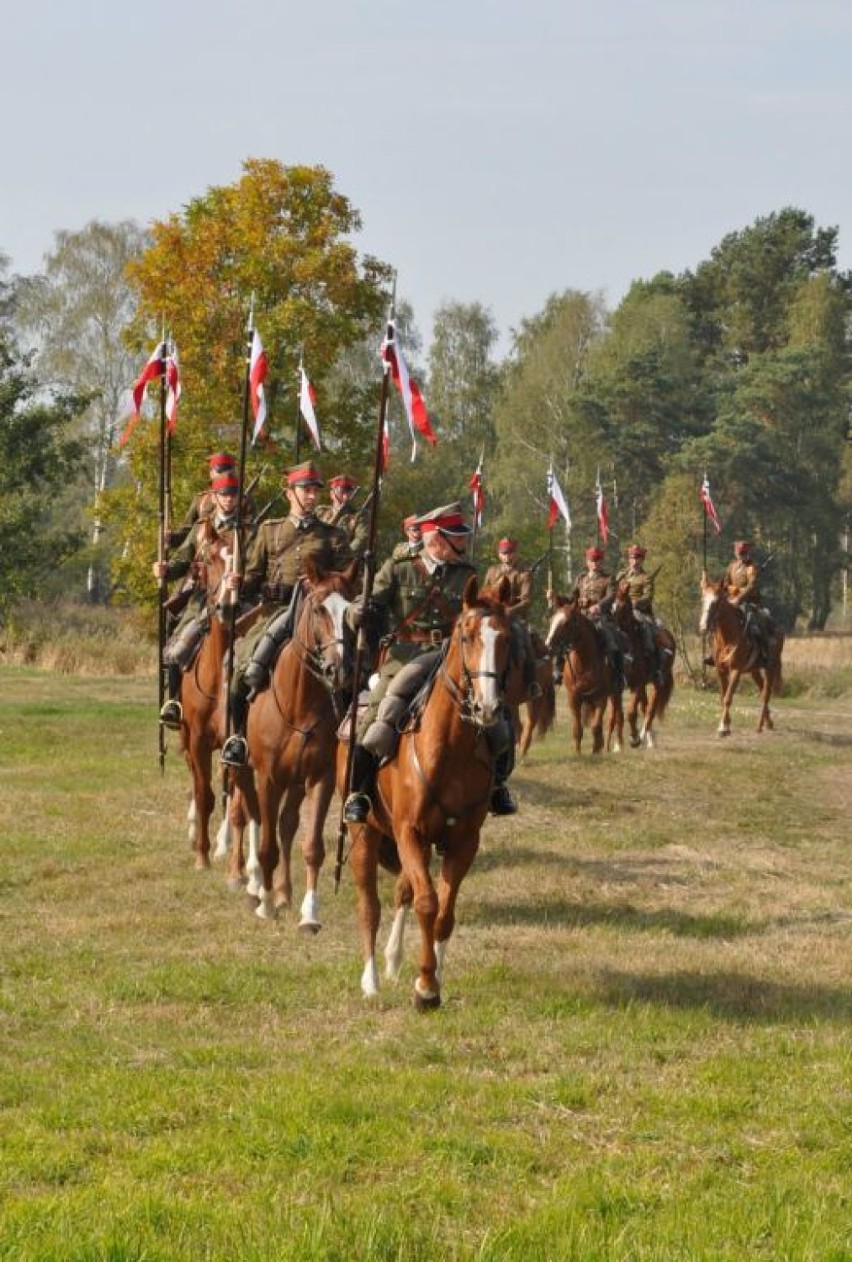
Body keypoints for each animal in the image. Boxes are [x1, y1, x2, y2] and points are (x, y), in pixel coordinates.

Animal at [335, 577, 517, 1009]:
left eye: (506, 638)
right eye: (466, 635)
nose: (488, 708)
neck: (450, 747)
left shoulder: (463, 840)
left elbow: (444, 911)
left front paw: (431, 977)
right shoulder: (410, 833)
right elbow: (428, 902)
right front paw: (426, 989)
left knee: (402, 890)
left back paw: (394, 959)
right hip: (365, 832)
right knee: (370, 905)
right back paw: (371, 980)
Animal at [547, 595, 626, 752]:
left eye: (566, 623)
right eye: (552, 620)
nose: (548, 644)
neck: (584, 663)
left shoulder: (601, 698)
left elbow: (596, 727)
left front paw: (596, 750)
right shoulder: (574, 698)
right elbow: (577, 729)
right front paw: (578, 753)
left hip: (615, 693)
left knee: (616, 717)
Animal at [610, 583, 676, 747]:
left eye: (623, 605)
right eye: (612, 605)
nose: (612, 624)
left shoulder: (637, 684)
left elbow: (631, 712)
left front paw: (634, 738)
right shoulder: (628, 685)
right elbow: (626, 712)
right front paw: (627, 740)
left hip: (658, 683)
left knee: (650, 710)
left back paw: (646, 736)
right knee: (645, 706)